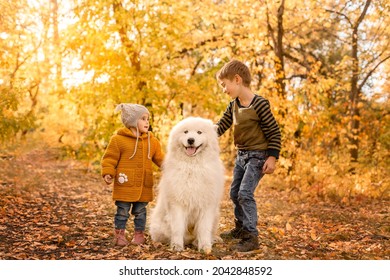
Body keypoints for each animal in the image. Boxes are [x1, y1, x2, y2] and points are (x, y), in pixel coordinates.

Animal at [150, 117, 225, 253]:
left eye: (199, 132)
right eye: (185, 132)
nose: (191, 140)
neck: (193, 166)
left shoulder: (207, 205)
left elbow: (204, 229)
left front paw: (205, 247)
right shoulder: (177, 204)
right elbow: (178, 228)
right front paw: (177, 246)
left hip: (216, 215)